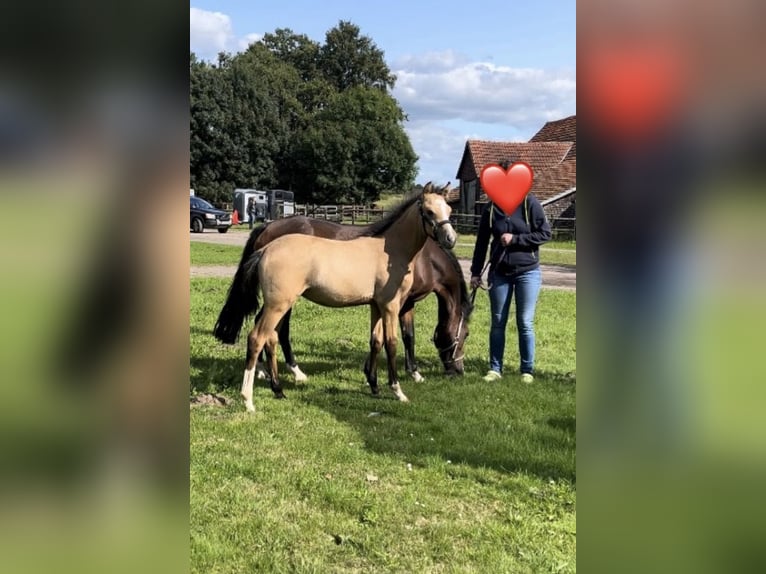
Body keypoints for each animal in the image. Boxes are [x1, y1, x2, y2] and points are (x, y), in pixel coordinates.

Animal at [213, 187, 460, 412]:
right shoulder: (392, 306)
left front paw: (374, 385)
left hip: (281, 304)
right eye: (429, 211)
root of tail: (266, 249)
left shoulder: (376, 305)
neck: (391, 250)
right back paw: (249, 399)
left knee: (271, 337)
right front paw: (398, 391)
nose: (450, 239)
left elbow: (376, 340)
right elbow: (392, 343)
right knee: (257, 338)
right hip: (278, 304)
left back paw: (279, 389)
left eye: (449, 209)